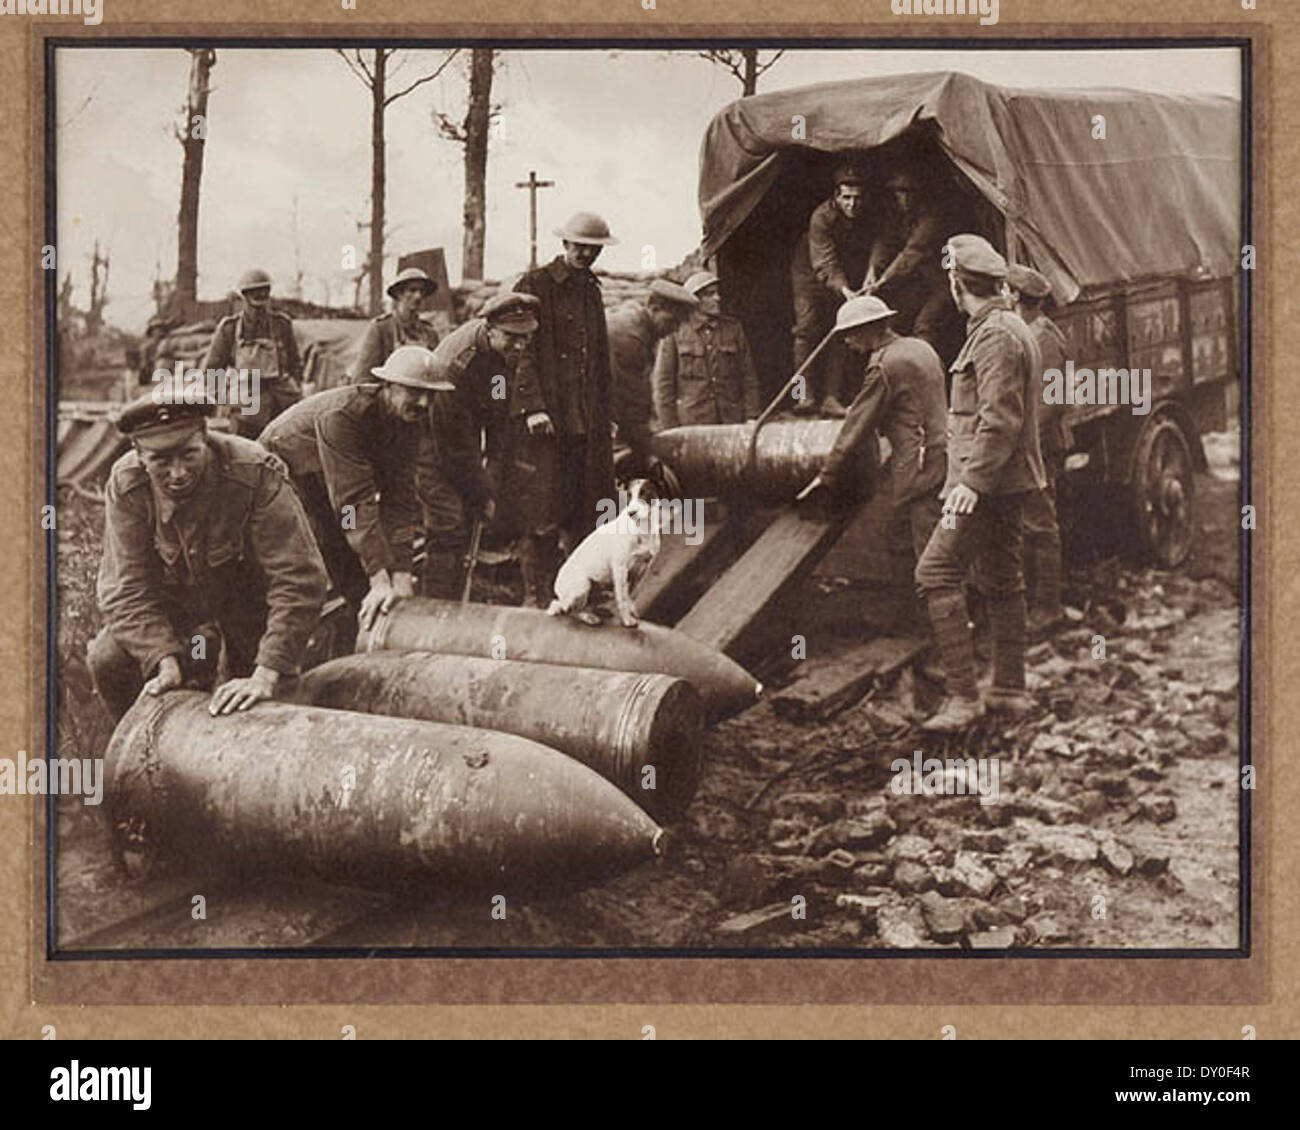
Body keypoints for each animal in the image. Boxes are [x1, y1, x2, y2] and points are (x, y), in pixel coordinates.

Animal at [548, 478, 665, 629]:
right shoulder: (620, 569)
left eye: (646, 494)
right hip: (583, 586)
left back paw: (599, 611)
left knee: (585, 604)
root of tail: (557, 589)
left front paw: (631, 612)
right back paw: (589, 617)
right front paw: (627, 620)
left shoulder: (642, 568)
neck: (643, 527)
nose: (631, 513)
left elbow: (630, 594)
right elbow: (622, 597)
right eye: (629, 496)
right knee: (567, 609)